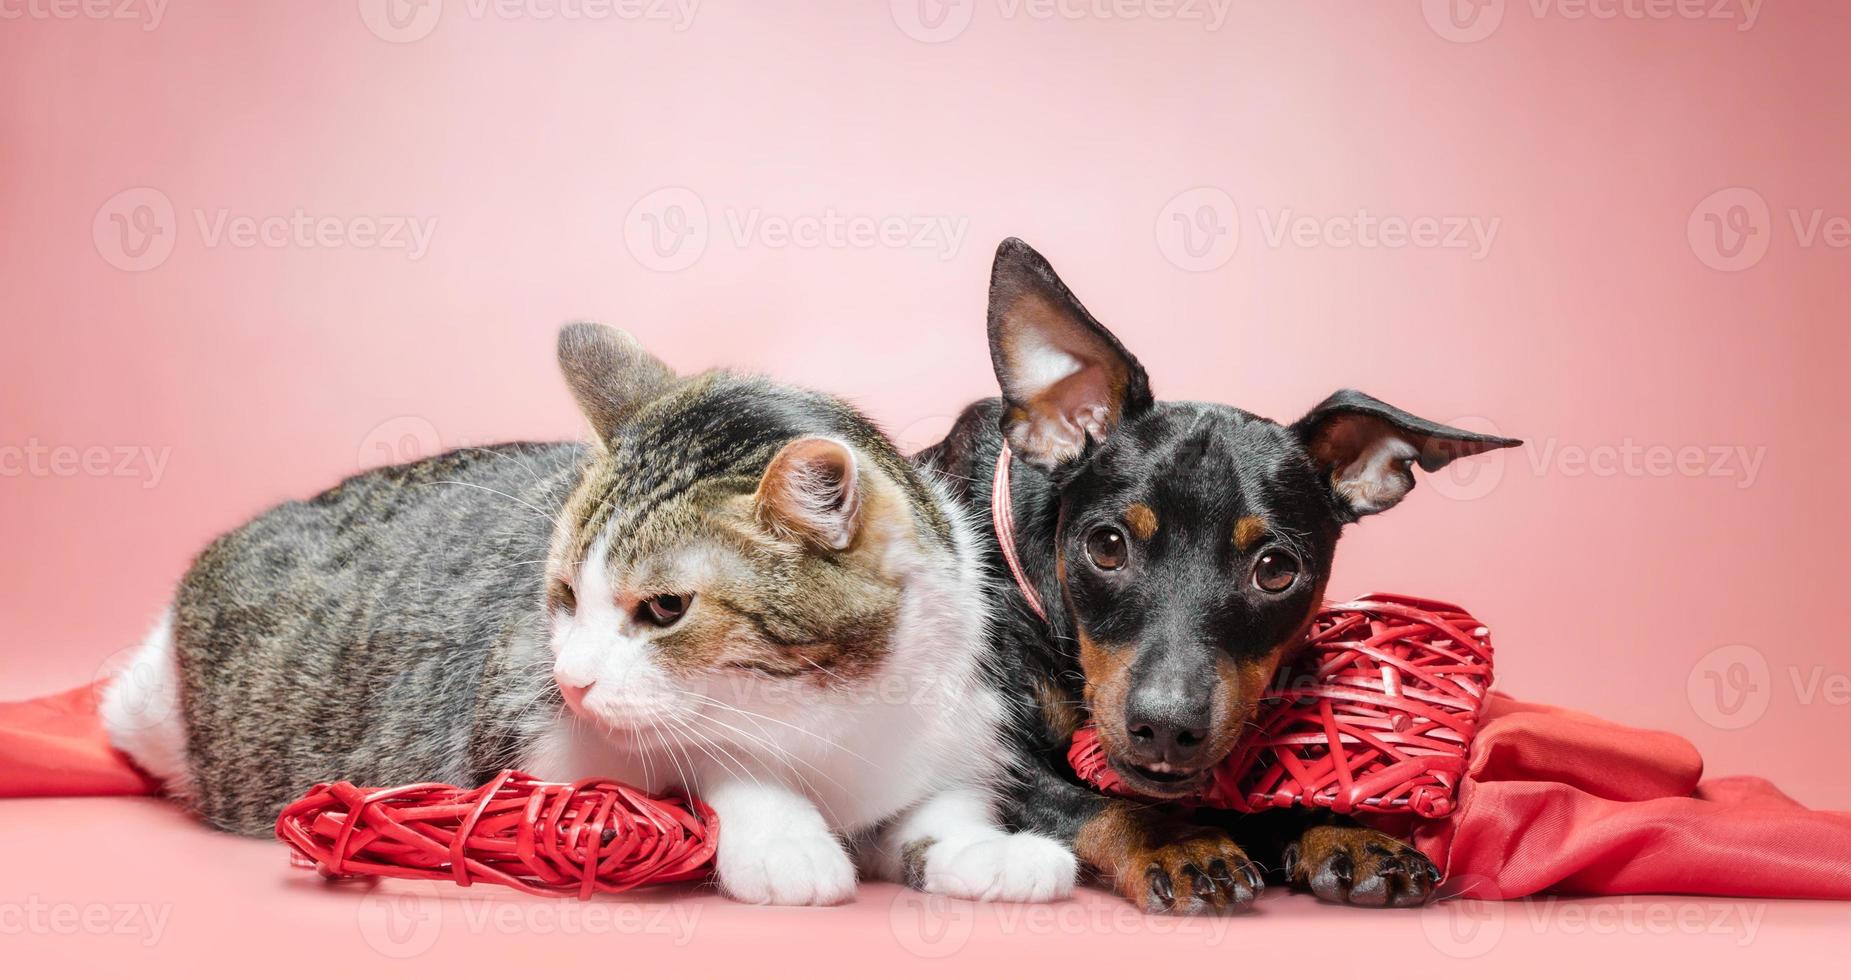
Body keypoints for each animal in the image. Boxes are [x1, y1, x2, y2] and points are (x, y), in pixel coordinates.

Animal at [105, 324, 1080, 904]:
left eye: (664, 608)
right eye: (566, 596)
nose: (571, 677)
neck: (829, 715)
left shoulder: (950, 723)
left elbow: (936, 813)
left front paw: (990, 851)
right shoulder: (533, 741)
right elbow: (703, 763)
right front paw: (782, 836)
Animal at [918, 240, 1525, 911]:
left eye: (1276, 570)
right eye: (1106, 546)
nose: (1166, 728)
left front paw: (1344, 830)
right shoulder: (998, 765)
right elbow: (1100, 805)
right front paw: (1180, 844)